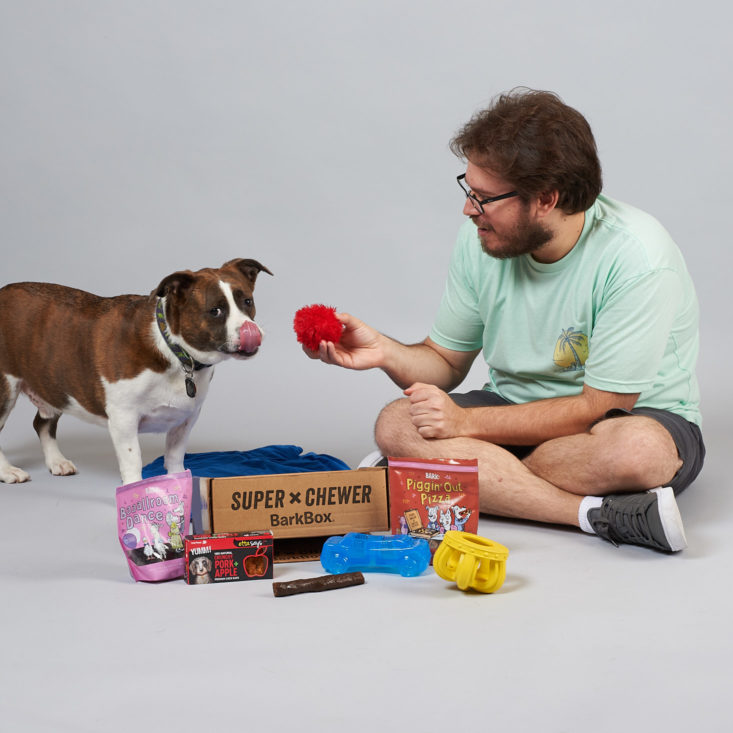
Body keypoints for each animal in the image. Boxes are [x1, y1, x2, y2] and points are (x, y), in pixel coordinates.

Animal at [0, 258, 272, 486]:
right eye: (215, 310)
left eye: (247, 302)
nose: (251, 330)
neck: (174, 351)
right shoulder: (124, 419)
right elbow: (133, 460)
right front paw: (134, 492)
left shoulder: (186, 418)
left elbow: (175, 456)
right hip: (6, 390)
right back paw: (8, 471)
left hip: (52, 382)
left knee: (42, 423)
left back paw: (56, 461)